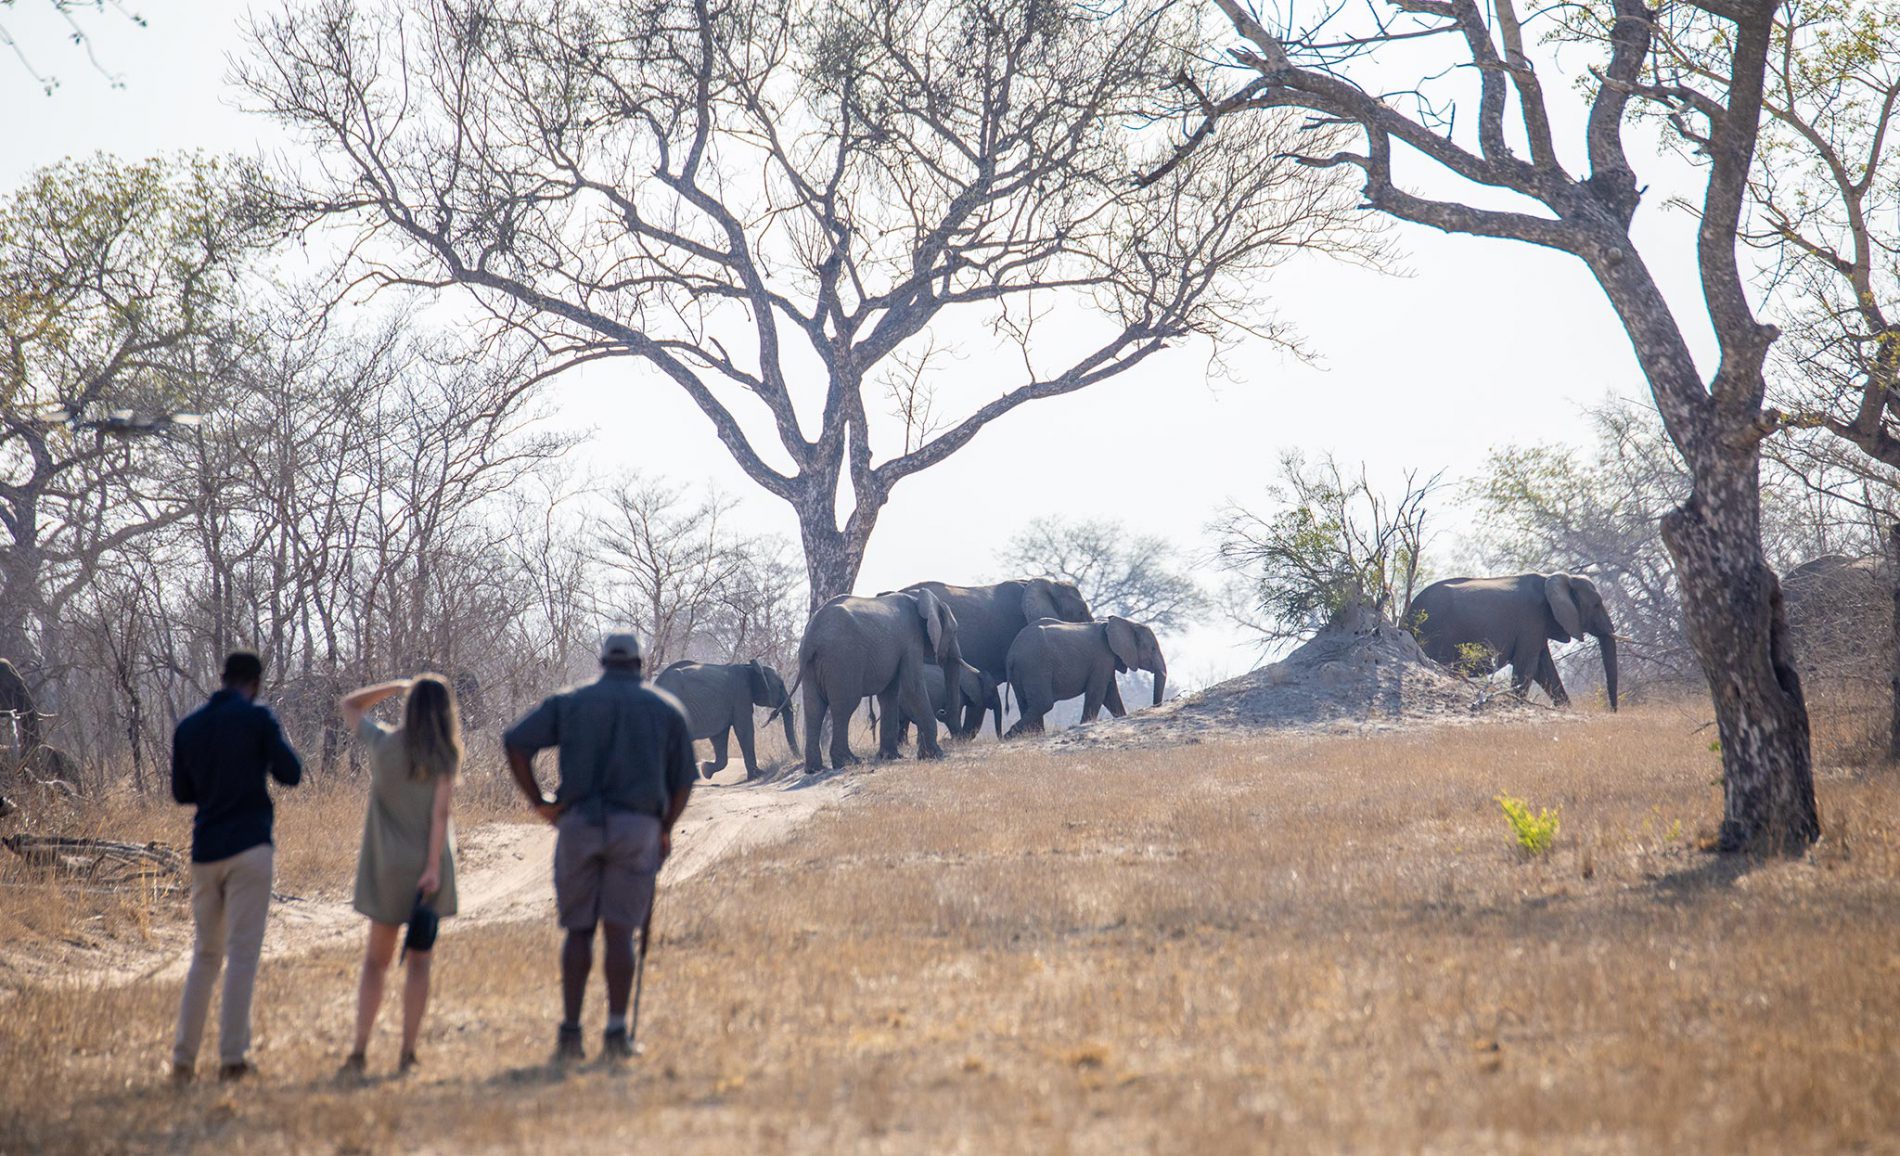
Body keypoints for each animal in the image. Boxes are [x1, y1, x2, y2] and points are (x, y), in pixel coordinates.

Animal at [657, 654, 798, 779]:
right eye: (780, 686)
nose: (798, 758)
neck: (749, 667)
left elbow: (719, 736)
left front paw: (705, 770)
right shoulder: (741, 694)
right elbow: (744, 730)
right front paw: (758, 774)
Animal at [794, 593, 965, 771]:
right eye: (955, 631)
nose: (942, 711)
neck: (919, 599)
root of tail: (812, 636)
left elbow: (889, 695)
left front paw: (890, 757)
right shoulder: (911, 641)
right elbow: (913, 687)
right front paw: (935, 755)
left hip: (811, 665)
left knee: (814, 707)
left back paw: (814, 769)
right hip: (843, 658)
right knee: (845, 706)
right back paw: (849, 761)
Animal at [1003, 619, 1162, 737]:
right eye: (1153, 648)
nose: (1155, 706)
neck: (1125, 622)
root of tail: (1012, 654)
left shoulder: (1107, 660)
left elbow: (1110, 695)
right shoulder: (1102, 657)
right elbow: (1098, 693)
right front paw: (1084, 724)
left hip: (1022, 671)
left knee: (1027, 703)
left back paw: (1031, 735)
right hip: (1035, 666)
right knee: (1043, 703)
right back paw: (1008, 736)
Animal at [1413, 570, 1618, 707]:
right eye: (1597, 604)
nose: (1613, 711)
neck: (1555, 578)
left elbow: (1544, 669)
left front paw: (1566, 709)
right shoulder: (1532, 619)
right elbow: (1527, 666)